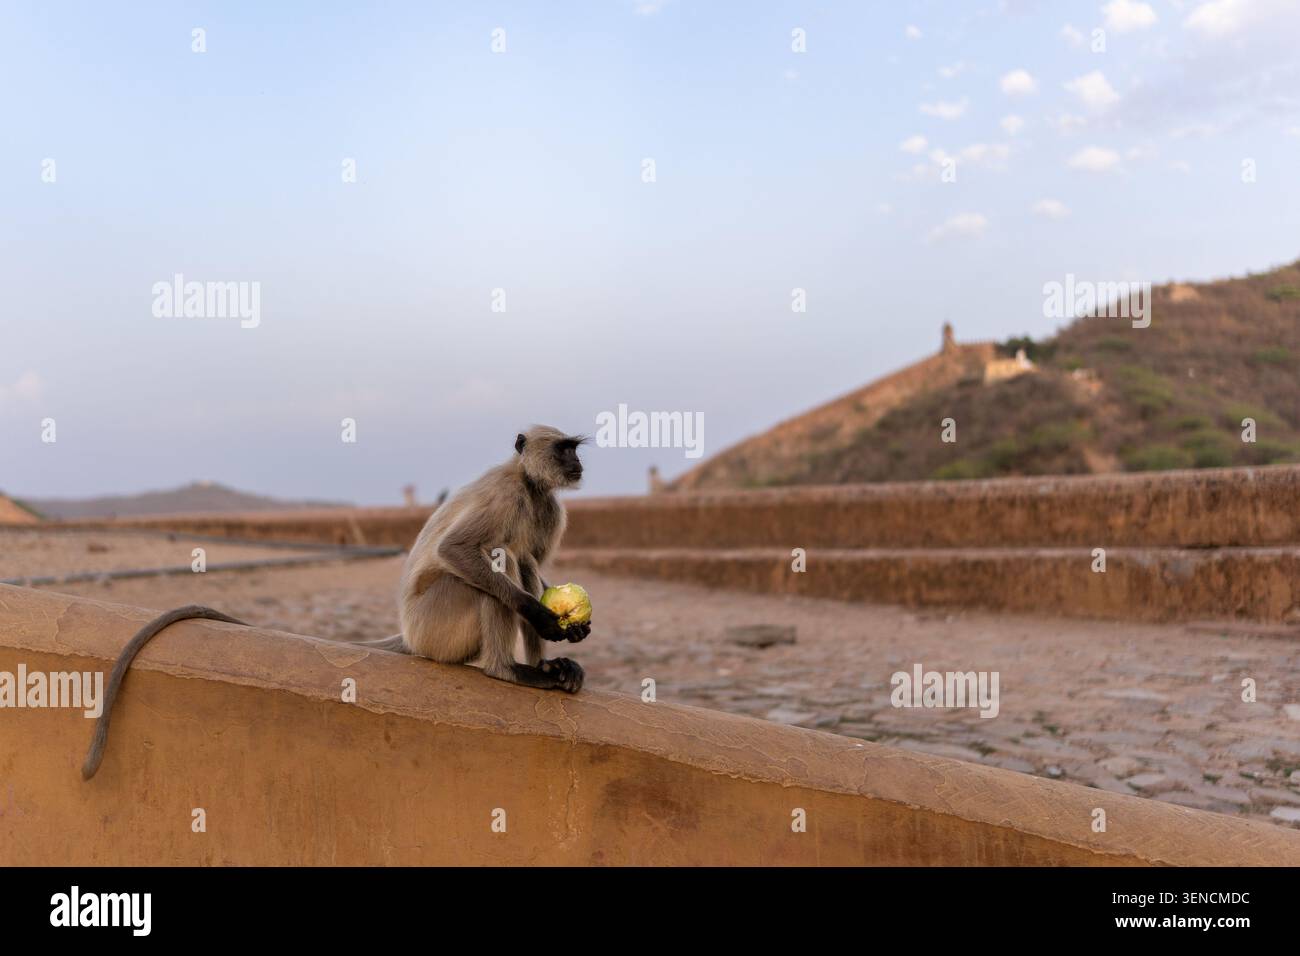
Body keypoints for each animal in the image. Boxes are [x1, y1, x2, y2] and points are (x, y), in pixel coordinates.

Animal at [80, 425, 590, 781]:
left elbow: (536, 566)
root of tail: (410, 634)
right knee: (497, 564)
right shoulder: (507, 495)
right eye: (563, 448)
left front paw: (571, 629)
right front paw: (542, 614)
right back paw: (508, 671)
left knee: (522, 560)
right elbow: (458, 551)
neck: (529, 484)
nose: (578, 463)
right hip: (437, 625)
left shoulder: (548, 508)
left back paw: (547, 669)